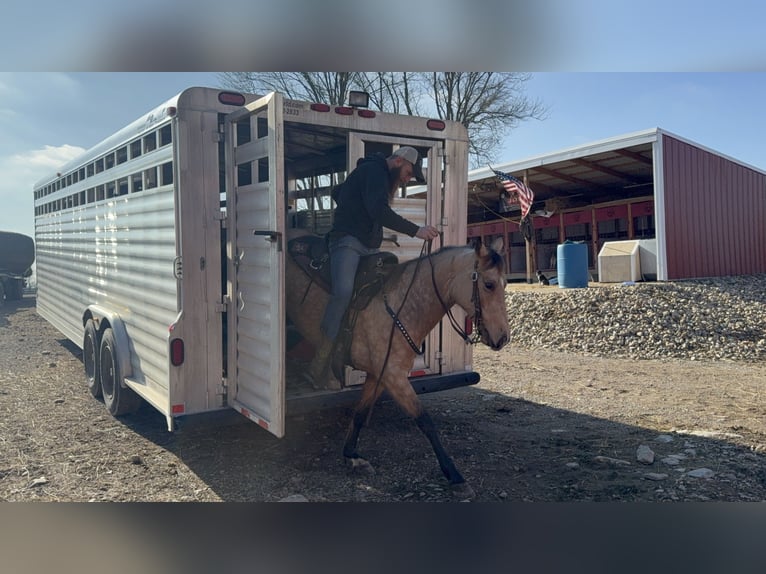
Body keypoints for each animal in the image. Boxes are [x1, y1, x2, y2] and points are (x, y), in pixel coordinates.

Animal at [285, 230, 510, 498]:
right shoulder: (395, 377)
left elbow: (360, 413)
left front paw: (352, 456)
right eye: (489, 284)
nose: (503, 338)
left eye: (506, 284)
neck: (403, 304)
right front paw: (455, 476)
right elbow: (425, 421)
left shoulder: (379, 375)